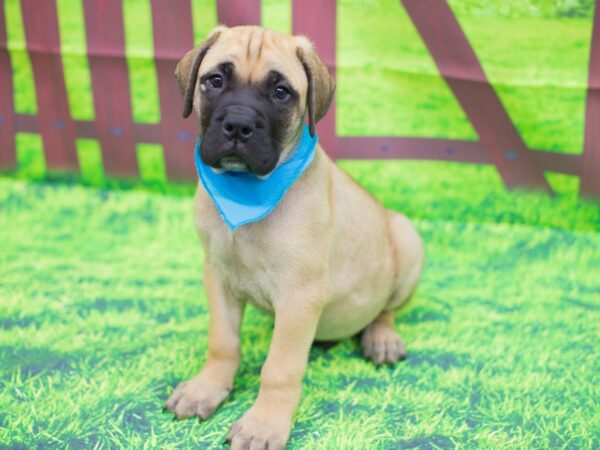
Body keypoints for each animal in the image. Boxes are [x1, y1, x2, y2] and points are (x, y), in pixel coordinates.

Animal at [166, 25, 424, 450]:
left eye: (281, 92)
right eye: (215, 81)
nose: (237, 125)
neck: (247, 195)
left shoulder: (299, 296)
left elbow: (280, 368)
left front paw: (263, 424)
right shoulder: (218, 276)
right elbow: (222, 342)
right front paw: (207, 389)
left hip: (407, 238)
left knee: (385, 308)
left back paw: (382, 338)